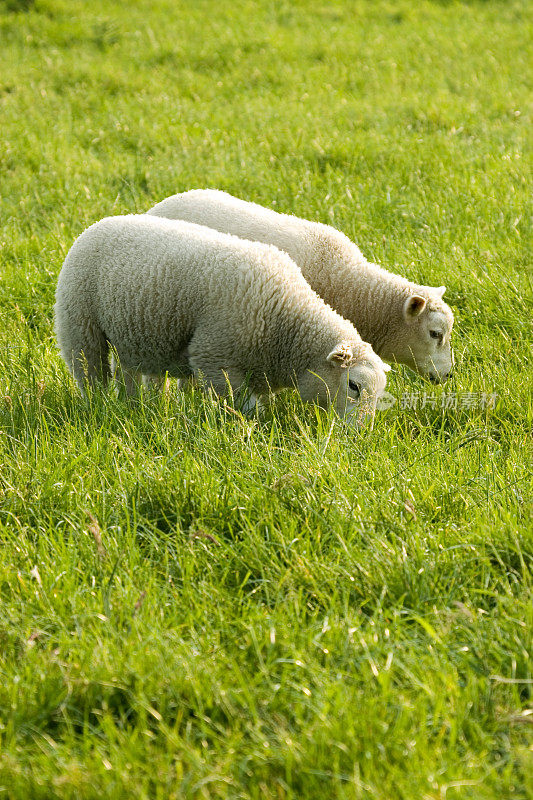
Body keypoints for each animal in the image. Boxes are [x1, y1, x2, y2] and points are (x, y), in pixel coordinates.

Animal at [54, 212, 388, 424]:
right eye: (354, 386)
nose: (359, 435)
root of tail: (98, 223)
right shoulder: (214, 357)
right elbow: (244, 406)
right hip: (79, 322)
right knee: (89, 373)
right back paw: (98, 408)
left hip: (131, 334)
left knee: (128, 373)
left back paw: (132, 408)